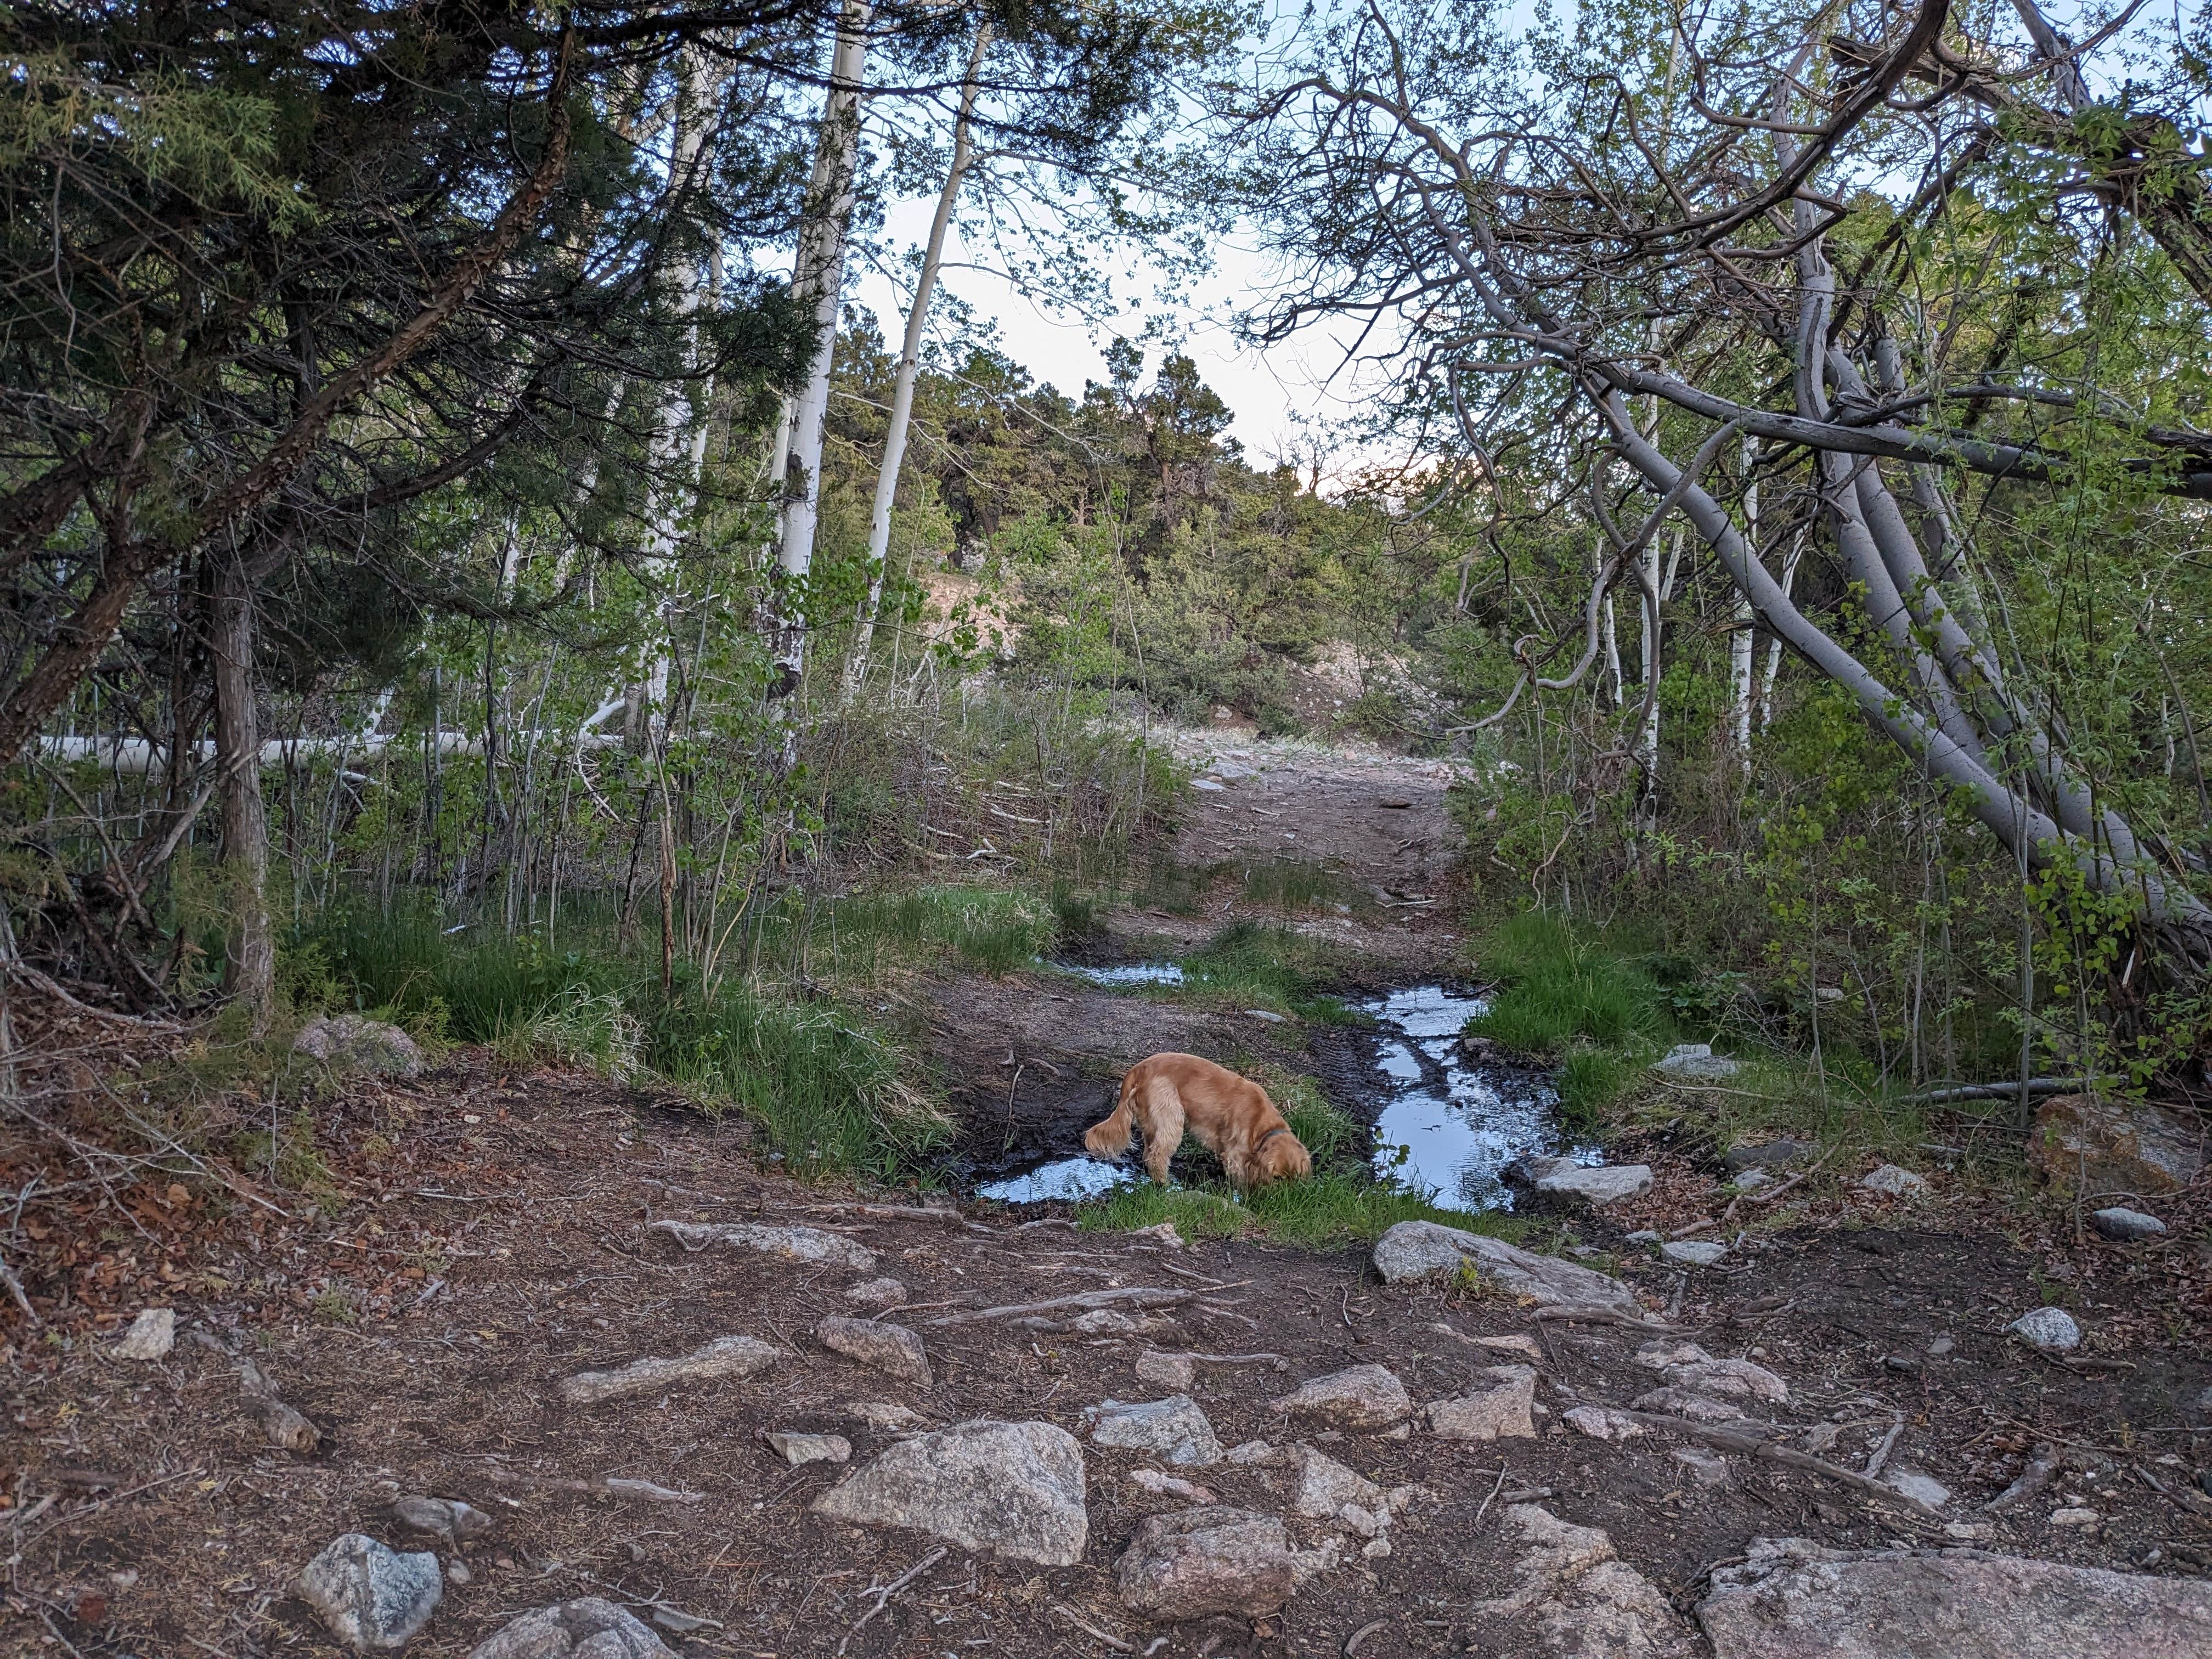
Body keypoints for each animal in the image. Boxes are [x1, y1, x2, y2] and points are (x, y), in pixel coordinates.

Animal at [1088, 1053, 1309, 1194]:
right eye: (1277, 1178)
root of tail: (1138, 1069)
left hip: (1153, 1121)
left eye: (1296, 1178)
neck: (1263, 1126)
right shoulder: (1236, 1155)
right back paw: (1165, 1184)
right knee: (1158, 1155)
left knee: (1149, 1152)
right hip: (1171, 1116)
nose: (1287, 1198)